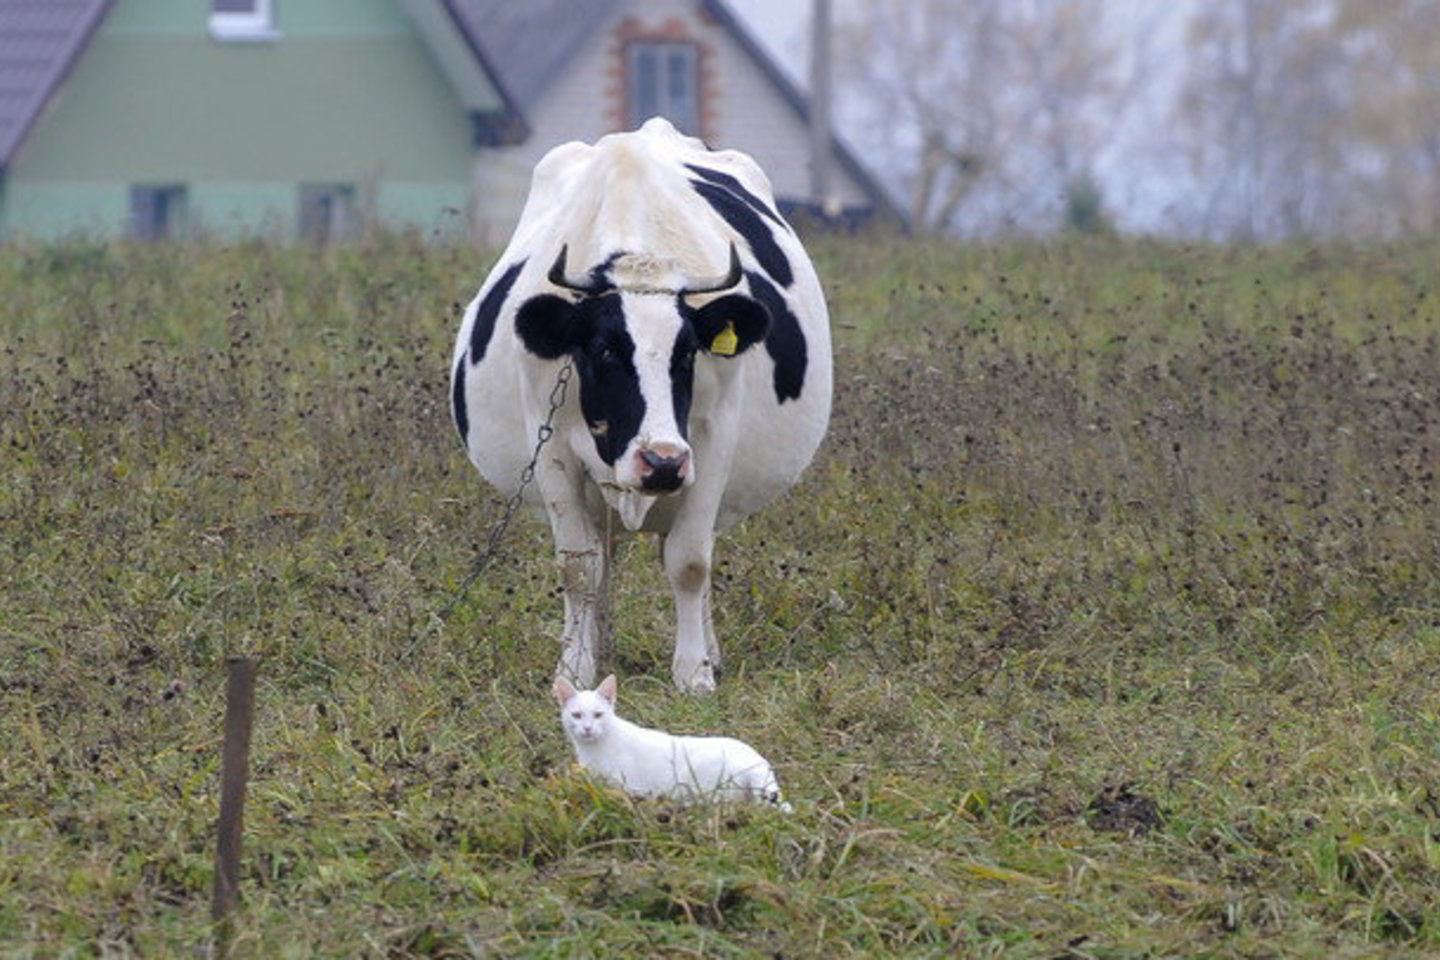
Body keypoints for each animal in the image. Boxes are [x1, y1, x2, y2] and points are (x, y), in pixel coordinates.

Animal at [449, 118, 835, 690]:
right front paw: (576, 667)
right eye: (604, 349)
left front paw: (694, 672)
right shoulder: (551, 447)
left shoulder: (712, 439)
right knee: (603, 558)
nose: (661, 462)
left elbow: (690, 562)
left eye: (687, 353)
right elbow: (579, 566)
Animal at [552, 676, 800, 811]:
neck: (593, 748)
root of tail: (758, 762)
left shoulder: (626, 786)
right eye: (576, 716)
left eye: (598, 715)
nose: (587, 728)